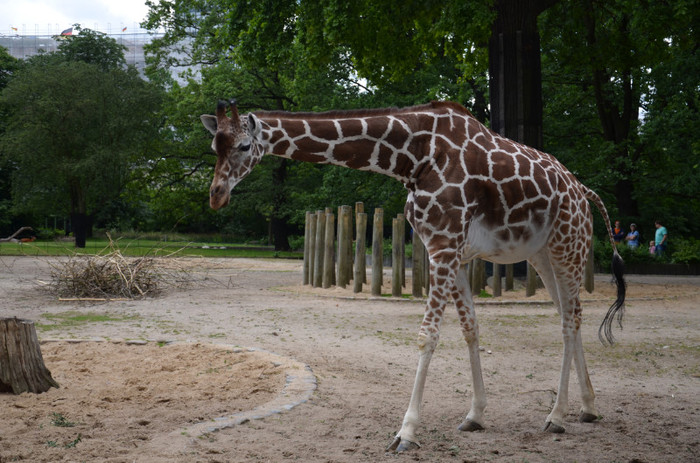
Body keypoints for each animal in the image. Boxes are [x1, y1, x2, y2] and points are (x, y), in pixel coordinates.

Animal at [200, 99, 628, 454]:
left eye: (243, 146)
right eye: (214, 146)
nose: (216, 195)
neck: (411, 158)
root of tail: (584, 190)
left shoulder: (444, 246)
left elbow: (427, 336)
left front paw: (406, 432)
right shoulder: (449, 251)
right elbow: (470, 328)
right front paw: (475, 415)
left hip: (568, 246)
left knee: (569, 320)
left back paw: (556, 416)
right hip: (541, 254)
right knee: (569, 316)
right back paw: (588, 407)